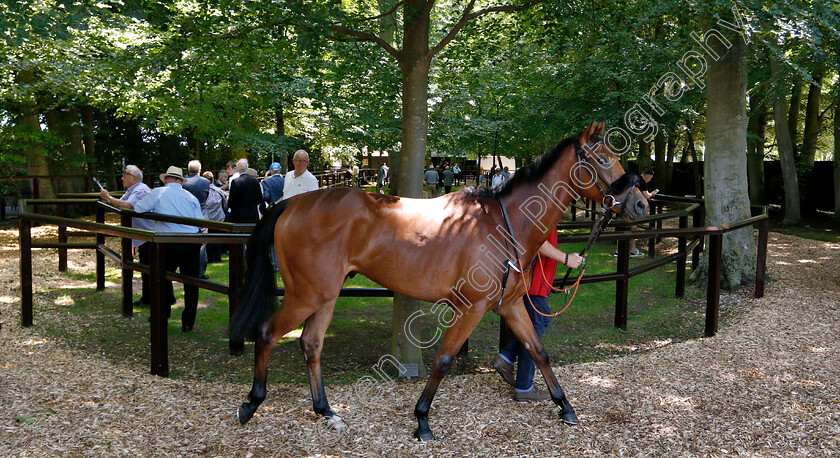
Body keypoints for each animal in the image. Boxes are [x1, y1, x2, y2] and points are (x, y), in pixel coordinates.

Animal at [230, 121, 648, 440]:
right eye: (605, 158)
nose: (641, 202)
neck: (505, 223)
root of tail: (292, 204)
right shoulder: (470, 308)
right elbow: (444, 360)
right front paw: (422, 420)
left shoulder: (512, 305)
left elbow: (538, 351)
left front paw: (566, 406)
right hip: (306, 294)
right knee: (267, 333)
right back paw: (251, 403)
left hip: (325, 295)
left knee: (312, 344)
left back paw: (326, 411)